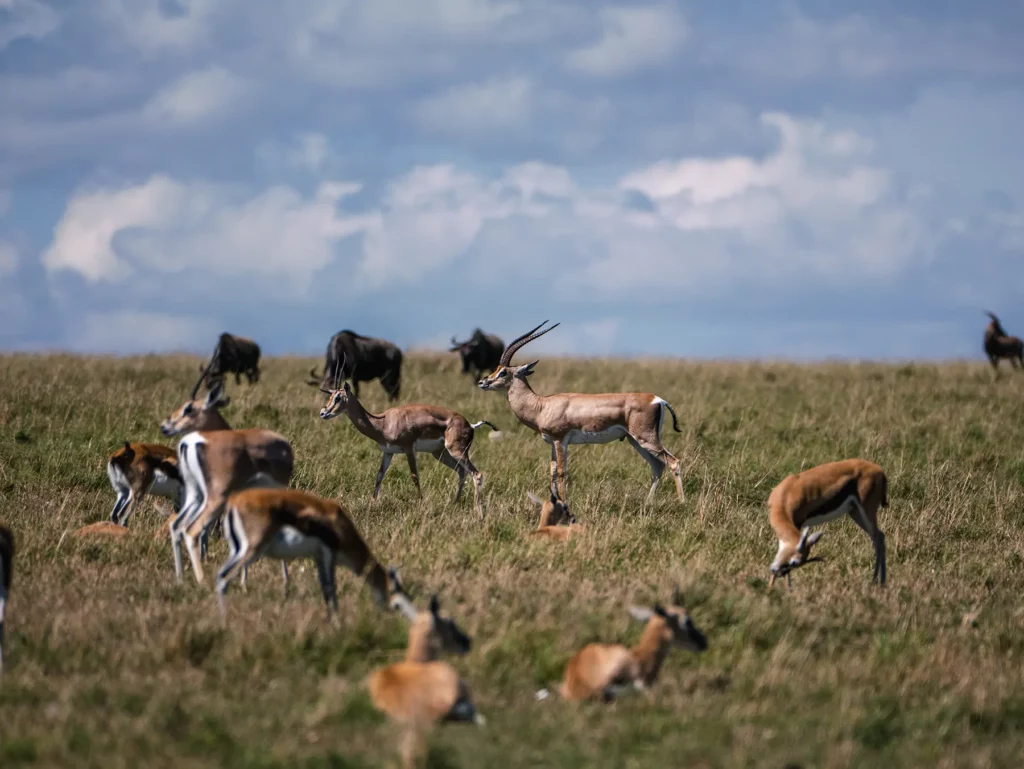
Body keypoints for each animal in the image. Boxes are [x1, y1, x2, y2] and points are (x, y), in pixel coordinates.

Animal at [160, 371, 294, 584]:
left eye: (188, 408)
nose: (164, 426)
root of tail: (190, 443)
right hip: (215, 499)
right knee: (192, 530)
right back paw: (202, 579)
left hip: (196, 496)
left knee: (177, 526)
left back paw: (181, 576)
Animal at [215, 487, 389, 616]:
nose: (383, 612)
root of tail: (233, 504)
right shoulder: (328, 555)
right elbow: (330, 589)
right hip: (251, 550)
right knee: (225, 577)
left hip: (240, 550)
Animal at [319, 367, 496, 517]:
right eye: (330, 396)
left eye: (338, 397)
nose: (323, 413)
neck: (383, 423)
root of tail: (470, 425)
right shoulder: (388, 452)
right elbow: (379, 476)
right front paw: (371, 503)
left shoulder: (409, 449)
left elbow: (414, 476)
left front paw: (422, 503)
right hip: (440, 453)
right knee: (461, 471)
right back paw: (455, 503)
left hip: (456, 451)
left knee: (477, 474)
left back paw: (478, 512)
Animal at [478, 321, 685, 502]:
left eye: (503, 372)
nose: (482, 382)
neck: (542, 406)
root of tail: (657, 399)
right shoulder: (552, 443)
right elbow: (552, 471)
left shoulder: (560, 440)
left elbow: (562, 472)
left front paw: (565, 501)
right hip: (635, 440)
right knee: (658, 466)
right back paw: (648, 502)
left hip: (645, 438)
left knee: (673, 462)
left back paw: (681, 502)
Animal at [767, 458, 888, 588]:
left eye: (795, 563)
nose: (776, 571)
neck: (786, 496)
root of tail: (879, 470)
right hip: (855, 512)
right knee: (879, 537)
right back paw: (878, 581)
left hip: (867, 510)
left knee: (877, 538)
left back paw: (877, 581)